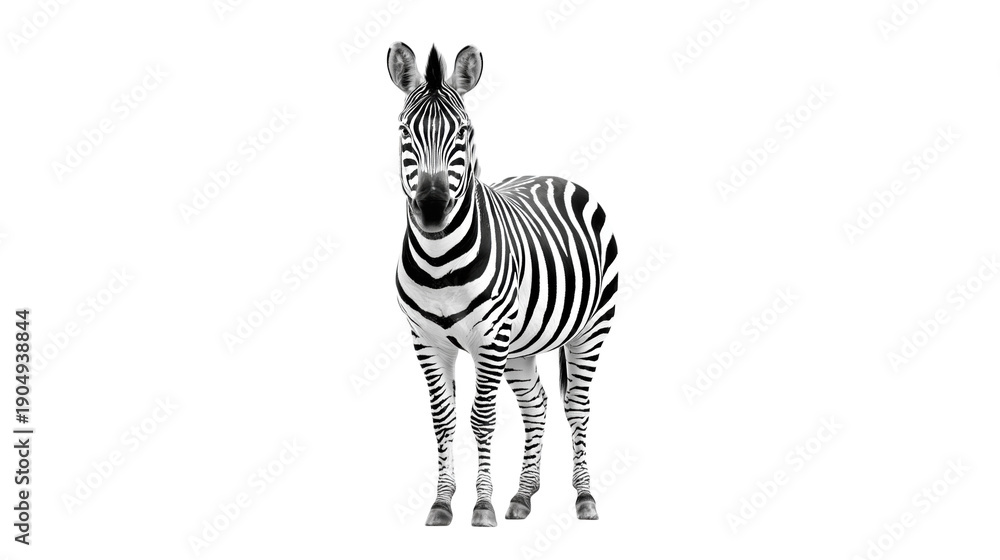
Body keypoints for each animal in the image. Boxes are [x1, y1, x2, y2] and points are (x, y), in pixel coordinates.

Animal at [387, 43, 619, 527]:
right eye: (404, 131)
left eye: (464, 132)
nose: (432, 210)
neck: (440, 264)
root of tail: (555, 175)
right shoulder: (425, 340)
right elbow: (443, 420)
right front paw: (442, 502)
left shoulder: (489, 339)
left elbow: (482, 418)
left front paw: (481, 505)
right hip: (520, 345)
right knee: (538, 405)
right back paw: (524, 495)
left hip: (591, 329)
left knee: (576, 406)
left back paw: (585, 497)